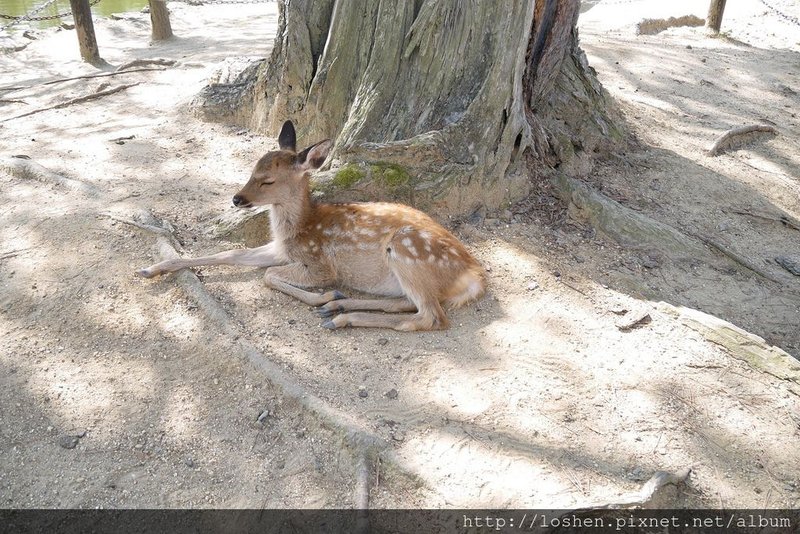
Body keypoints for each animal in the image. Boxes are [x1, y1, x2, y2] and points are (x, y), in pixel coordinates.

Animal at [136, 120, 488, 330]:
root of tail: (474, 276)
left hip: (407, 249)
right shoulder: (280, 248)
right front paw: (152, 268)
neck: (297, 229)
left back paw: (340, 315)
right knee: (408, 303)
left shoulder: (320, 263)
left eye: (267, 180)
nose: (236, 199)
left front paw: (323, 296)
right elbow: (231, 254)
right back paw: (340, 304)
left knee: (431, 317)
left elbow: (268, 275)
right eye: (252, 170)